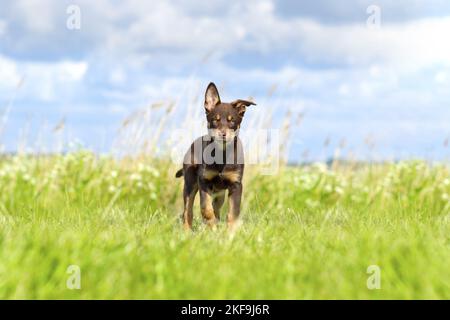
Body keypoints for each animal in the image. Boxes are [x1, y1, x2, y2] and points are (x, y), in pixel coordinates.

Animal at [174, 81, 255, 229]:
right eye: (215, 120)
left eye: (232, 121)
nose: (223, 134)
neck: (222, 154)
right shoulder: (204, 181)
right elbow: (205, 208)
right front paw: (211, 225)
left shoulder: (236, 184)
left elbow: (233, 212)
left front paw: (231, 231)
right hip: (190, 183)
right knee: (187, 211)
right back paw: (187, 231)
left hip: (219, 193)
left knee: (216, 207)